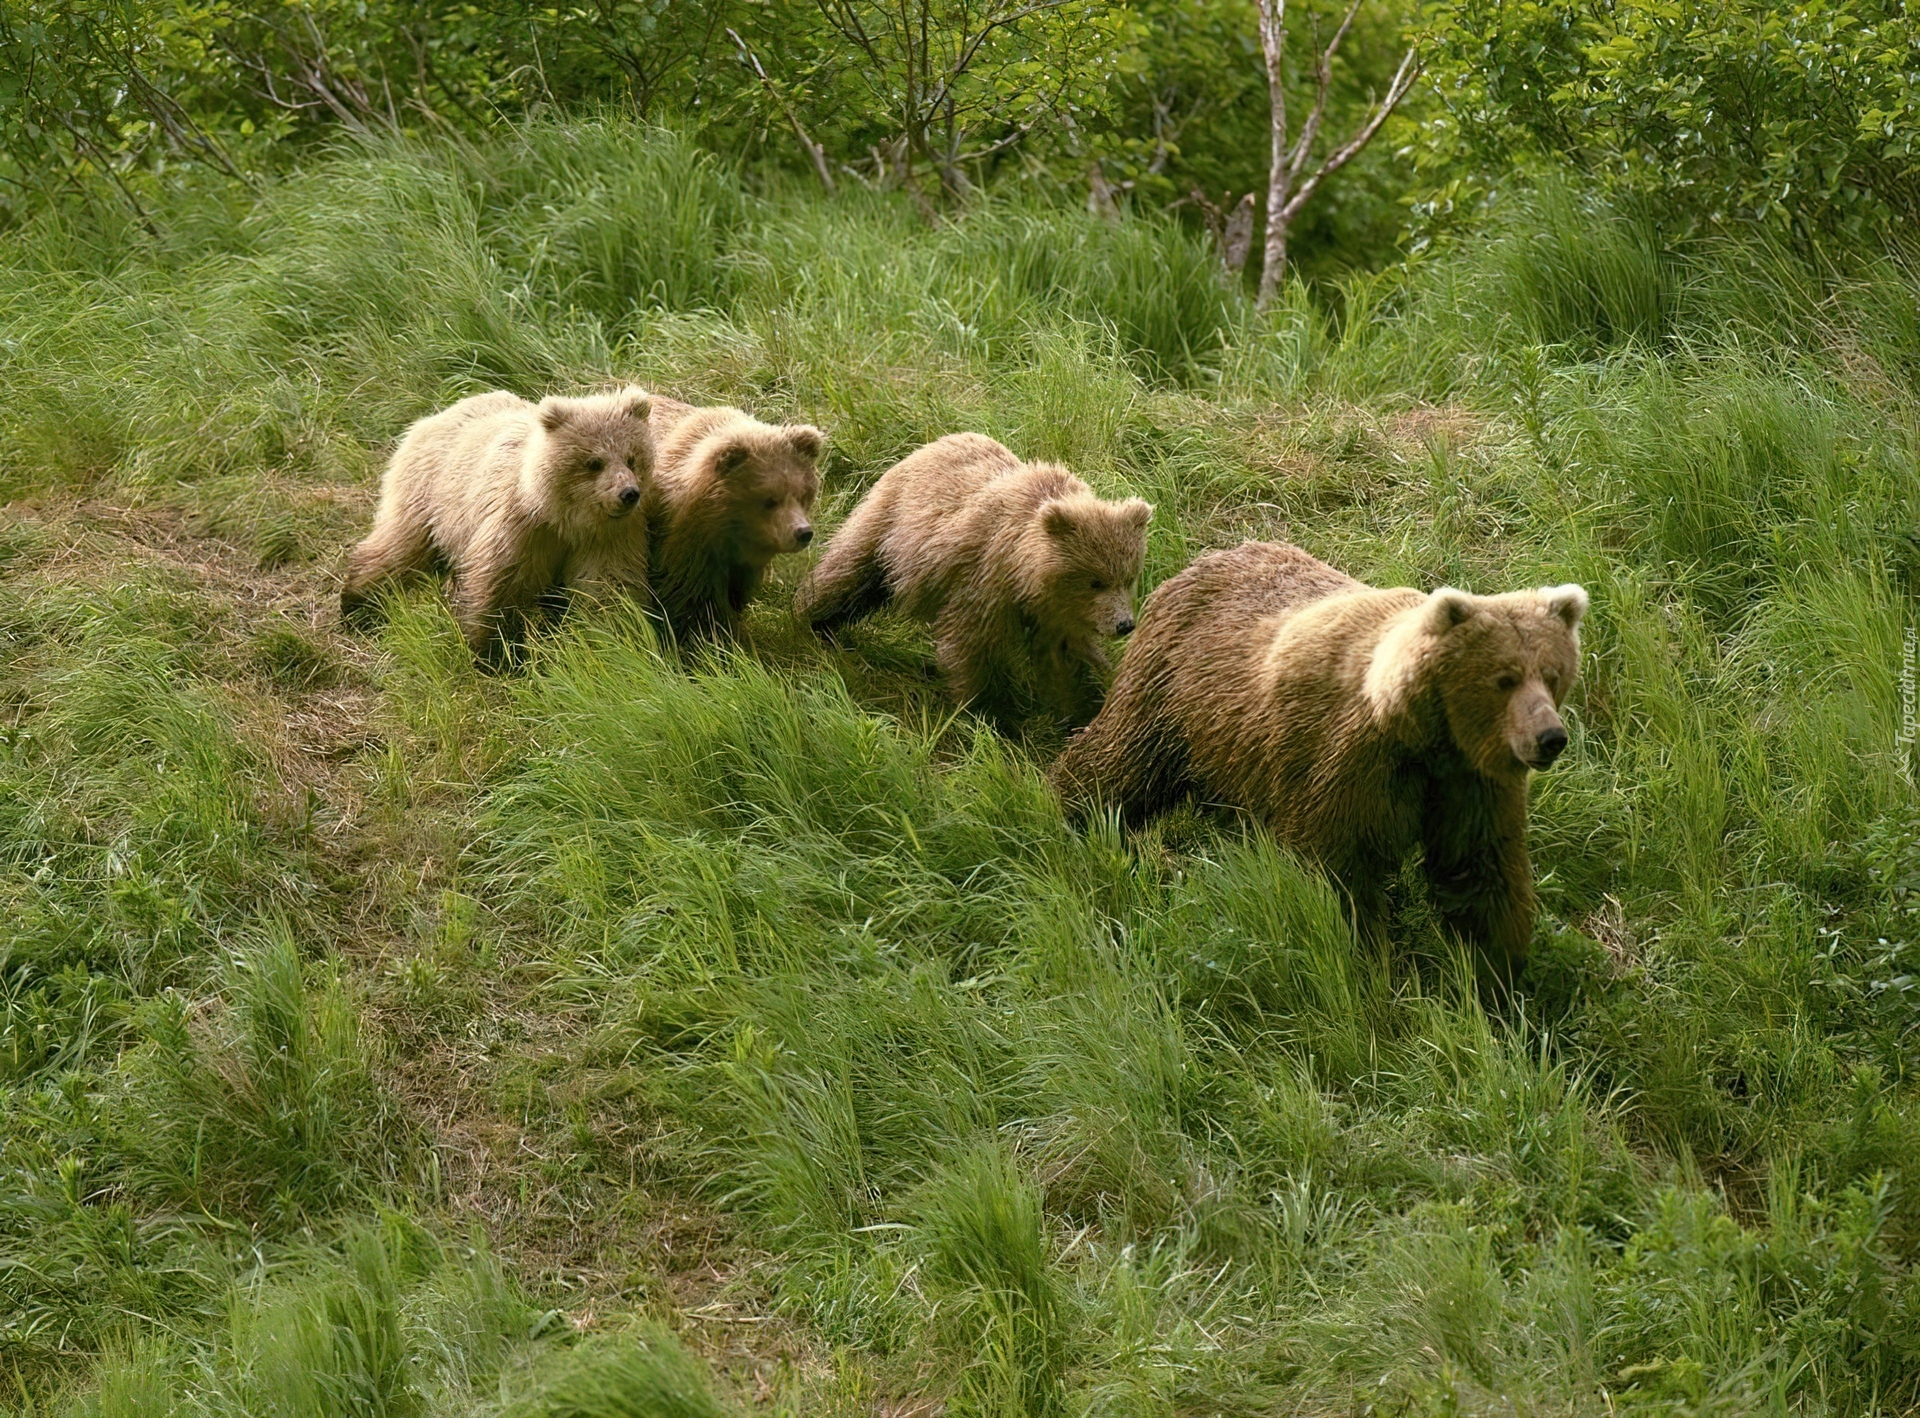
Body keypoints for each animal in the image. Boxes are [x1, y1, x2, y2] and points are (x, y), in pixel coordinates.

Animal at [334, 385, 656, 667]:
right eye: (594, 462)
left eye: (632, 457)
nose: (628, 493)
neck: (562, 517)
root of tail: (434, 416)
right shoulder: (518, 528)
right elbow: (498, 587)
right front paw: (496, 655)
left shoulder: (606, 538)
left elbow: (608, 590)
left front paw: (615, 645)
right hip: (428, 496)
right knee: (399, 548)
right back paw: (357, 605)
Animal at [645, 402, 825, 640]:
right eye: (770, 500)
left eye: (802, 494)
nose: (803, 533)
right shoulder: (685, 545)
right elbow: (691, 598)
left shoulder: (740, 564)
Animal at [787, 431, 1144, 725]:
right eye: (1095, 581)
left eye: (1128, 578)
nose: (1125, 624)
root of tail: (934, 442)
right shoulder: (983, 579)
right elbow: (970, 645)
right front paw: (987, 711)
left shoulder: (1054, 616)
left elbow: (1065, 660)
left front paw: (1082, 706)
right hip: (890, 523)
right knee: (847, 570)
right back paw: (808, 618)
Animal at [1052, 544, 1589, 963]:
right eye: (1504, 679)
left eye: (1553, 673)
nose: (1550, 737)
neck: (1420, 736)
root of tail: (1197, 562)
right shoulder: (1346, 766)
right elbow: (1337, 875)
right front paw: (1366, 958)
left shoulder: (1467, 783)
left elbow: (1482, 876)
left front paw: (1499, 979)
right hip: (1172, 695)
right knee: (1118, 764)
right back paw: (1070, 811)